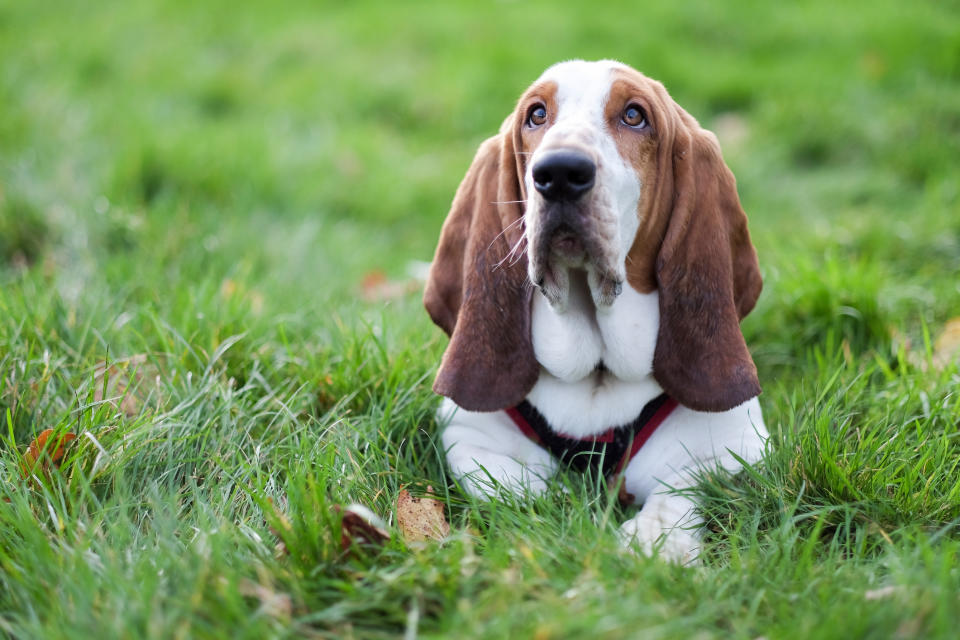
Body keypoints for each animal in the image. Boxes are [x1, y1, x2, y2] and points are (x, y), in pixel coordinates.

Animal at [424, 58, 768, 560]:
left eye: (634, 115)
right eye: (536, 114)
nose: (560, 172)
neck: (597, 375)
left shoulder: (737, 443)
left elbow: (686, 488)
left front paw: (654, 542)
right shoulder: (468, 434)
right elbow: (509, 487)